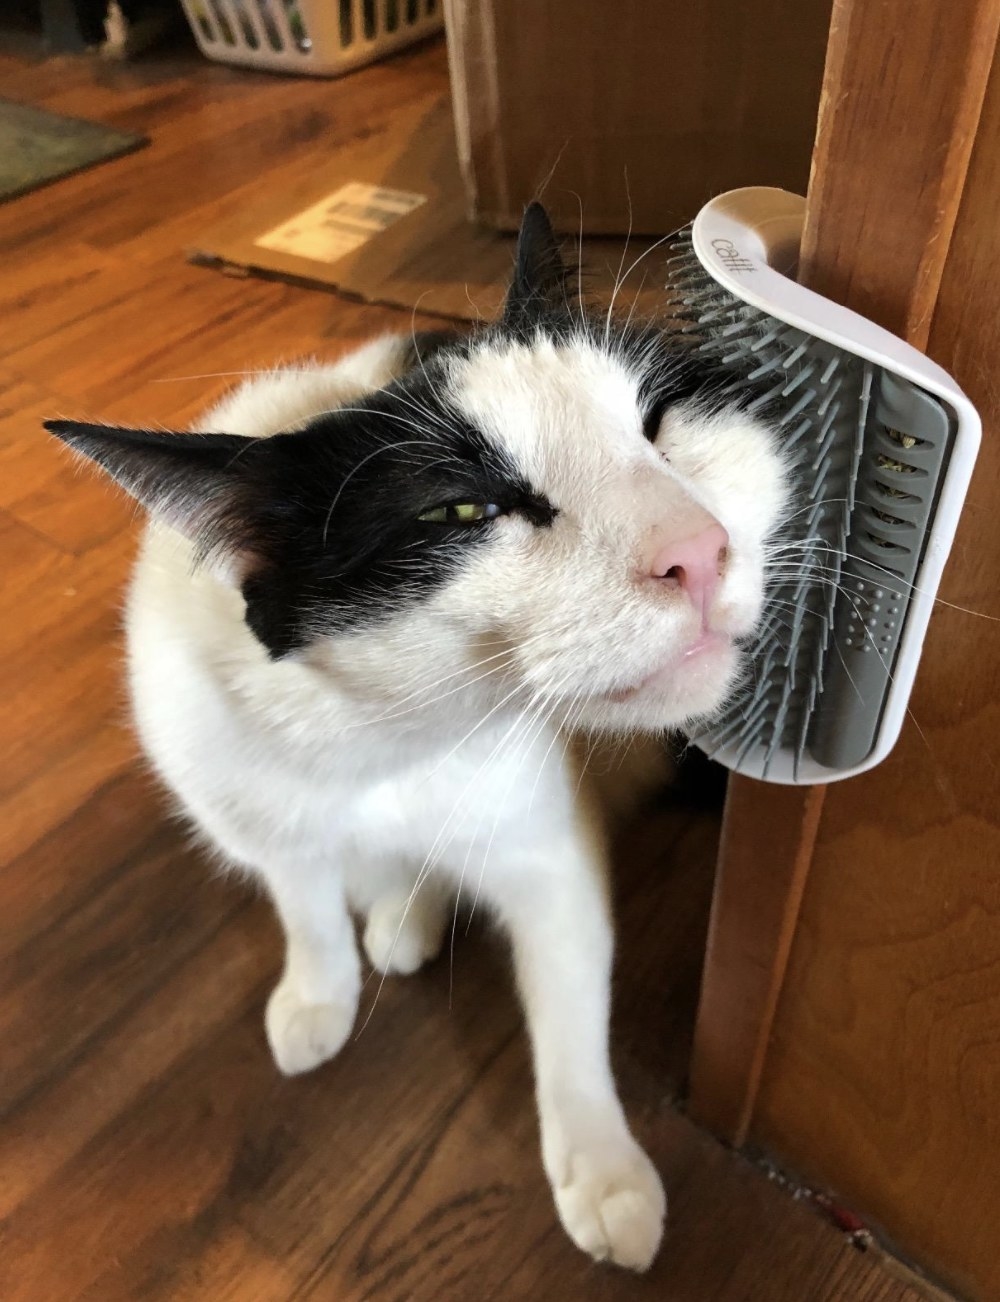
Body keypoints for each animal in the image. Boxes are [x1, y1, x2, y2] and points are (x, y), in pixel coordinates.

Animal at [48, 205, 791, 1270]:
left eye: (657, 425)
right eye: (461, 510)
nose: (698, 551)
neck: (385, 740)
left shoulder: (546, 857)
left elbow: (569, 1009)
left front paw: (600, 1165)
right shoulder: (261, 812)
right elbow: (305, 906)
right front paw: (317, 994)